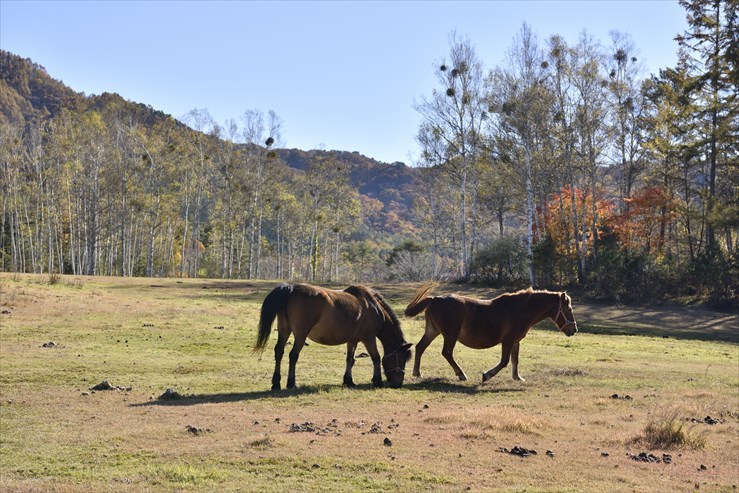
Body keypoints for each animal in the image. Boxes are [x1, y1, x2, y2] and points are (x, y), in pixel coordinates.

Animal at [256, 282, 414, 390]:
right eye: (401, 359)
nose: (398, 383)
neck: (372, 305)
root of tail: (291, 288)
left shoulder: (352, 340)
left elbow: (350, 359)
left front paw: (348, 380)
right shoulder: (368, 338)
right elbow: (376, 358)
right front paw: (377, 380)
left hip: (284, 330)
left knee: (279, 352)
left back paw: (276, 383)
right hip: (300, 334)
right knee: (293, 355)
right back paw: (291, 383)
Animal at [404, 284, 580, 384]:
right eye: (568, 309)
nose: (574, 329)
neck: (520, 310)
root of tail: (435, 299)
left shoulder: (515, 341)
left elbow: (515, 360)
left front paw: (517, 378)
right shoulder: (507, 340)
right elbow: (504, 361)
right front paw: (487, 375)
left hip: (433, 331)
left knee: (420, 347)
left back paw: (417, 373)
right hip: (450, 335)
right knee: (446, 352)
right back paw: (461, 374)